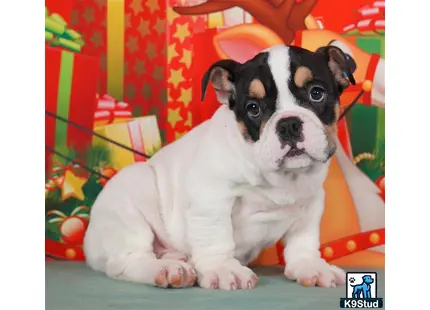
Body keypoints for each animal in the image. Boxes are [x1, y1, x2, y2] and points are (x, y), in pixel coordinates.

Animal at [84, 44, 356, 290]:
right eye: (253, 108)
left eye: (316, 93)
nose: (288, 124)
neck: (281, 177)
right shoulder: (211, 197)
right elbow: (216, 236)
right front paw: (224, 268)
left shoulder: (310, 202)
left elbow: (303, 240)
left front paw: (309, 265)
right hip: (130, 203)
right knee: (128, 261)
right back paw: (168, 269)